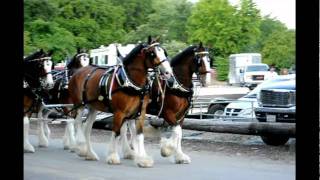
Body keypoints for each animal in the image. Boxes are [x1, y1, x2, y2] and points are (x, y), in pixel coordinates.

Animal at [68, 36, 172, 167]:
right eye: (152, 53)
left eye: (164, 52)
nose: (168, 72)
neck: (131, 82)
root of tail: (79, 71)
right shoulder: (119, 112)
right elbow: (116, 132)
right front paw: (113, 156)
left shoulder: (140, 113)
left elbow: (139, 135)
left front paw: (143, 159)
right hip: (79, 105)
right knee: (78, 123)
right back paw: (81, 147)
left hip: (93, 108)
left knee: (87, 129)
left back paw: (90, 154)